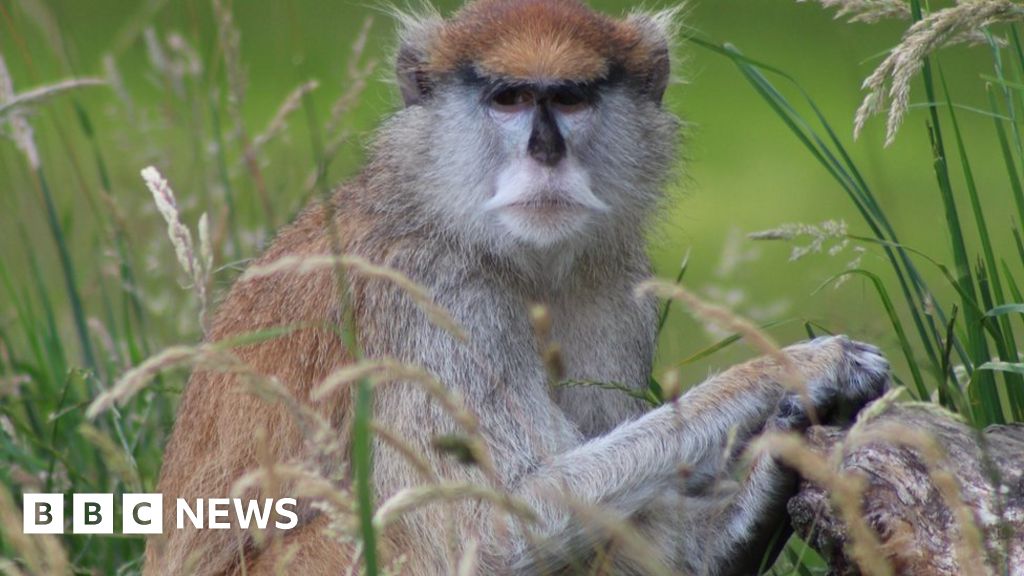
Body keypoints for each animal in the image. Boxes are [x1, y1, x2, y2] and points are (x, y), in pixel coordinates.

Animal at [148, 1, 892, 573]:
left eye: (569, 97)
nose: (545, 151)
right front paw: (802, 364)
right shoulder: (434, 298)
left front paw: (756, 500)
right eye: (507, 98)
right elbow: (494, 526)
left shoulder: (613, 291)